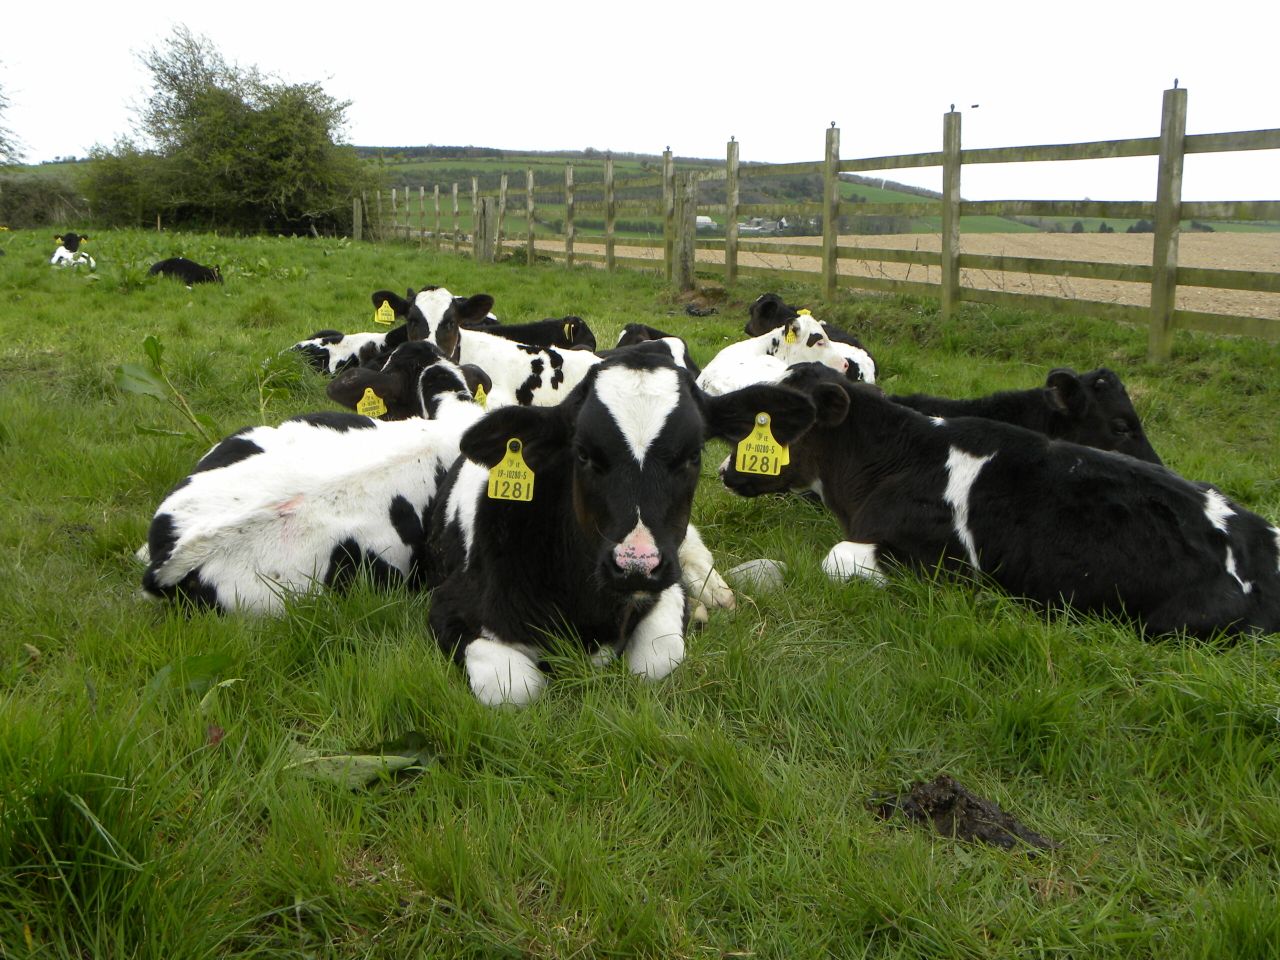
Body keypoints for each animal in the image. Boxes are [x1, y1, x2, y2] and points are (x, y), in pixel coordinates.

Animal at [425, 350, 818, 706]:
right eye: (583, 454)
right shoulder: (449, 607)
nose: (636, 565)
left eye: (693, 455)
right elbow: (515, 689)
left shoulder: (664, 585)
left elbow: (656, 661)